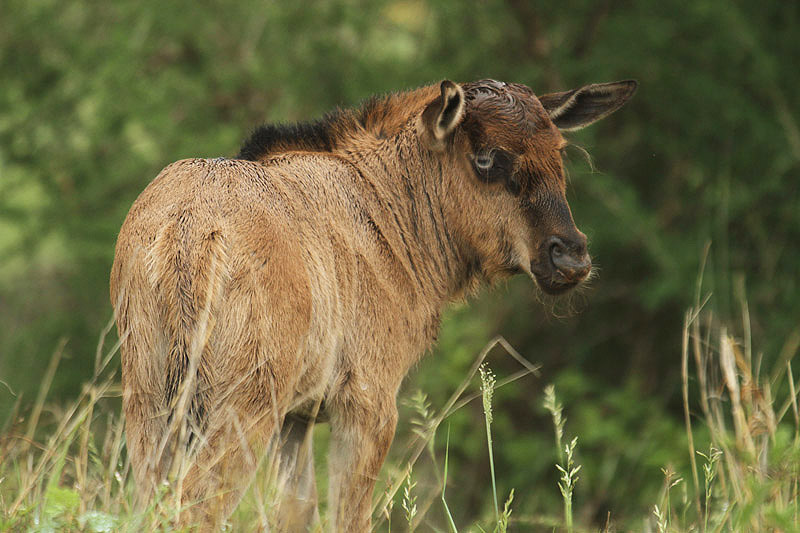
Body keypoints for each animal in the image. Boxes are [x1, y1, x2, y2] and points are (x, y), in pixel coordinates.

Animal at [110, 78, 636, 531]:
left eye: (559, 151)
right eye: (486, 158)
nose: (570, 256)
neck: (387, 210)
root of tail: (184, 233)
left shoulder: (297, 417)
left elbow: (295, 510)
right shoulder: (367, 403)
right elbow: (348, 517)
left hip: (149, 400)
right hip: (239, 405)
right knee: (195, 507)